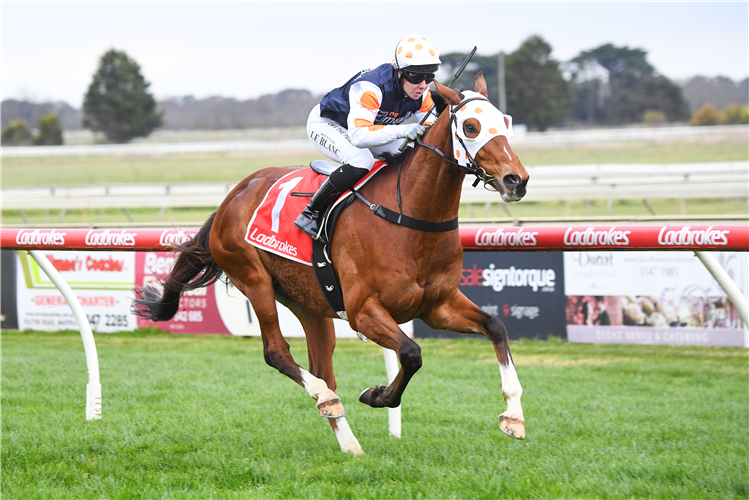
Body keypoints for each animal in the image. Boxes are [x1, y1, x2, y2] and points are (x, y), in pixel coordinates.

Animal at [136, 74, 532, 458]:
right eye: (471, 126)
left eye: (505, 121)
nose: (517, 180)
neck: (411, 217)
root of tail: (232, 196)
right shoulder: (363, 311)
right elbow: (411, 353)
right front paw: (377, 395)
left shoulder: (438, 306)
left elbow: (495, 327)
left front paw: (513, 416)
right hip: (253, 279)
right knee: (277, 353)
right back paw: (326, 399)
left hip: (310, 303)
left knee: (322, 369)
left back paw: (349, 442)